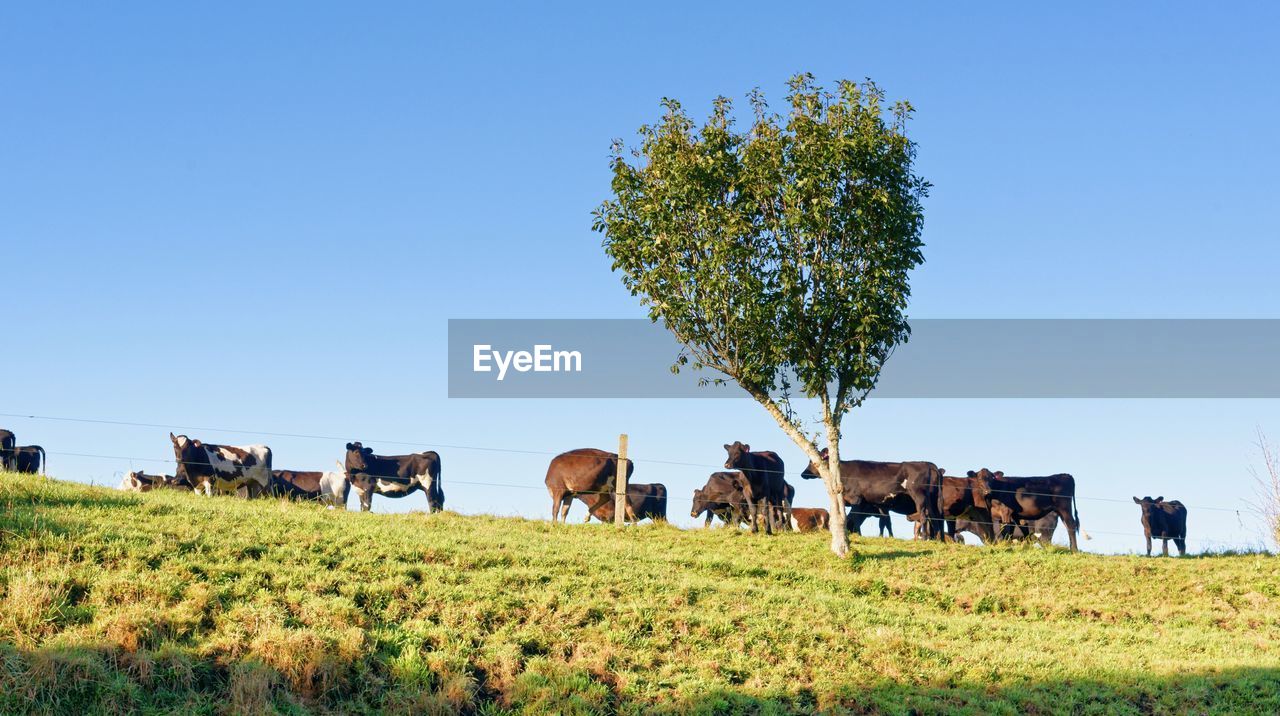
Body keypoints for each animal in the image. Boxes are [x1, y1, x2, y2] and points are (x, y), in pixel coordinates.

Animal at [803, 450, 947, 540]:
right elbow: (880, 522)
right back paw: (938, 540)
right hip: (933, 498)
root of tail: (929, 464)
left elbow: (855, 518)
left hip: (919, 496)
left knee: (924, 516)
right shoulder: (870, 503)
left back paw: (925, 538)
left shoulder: (856, 499)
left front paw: (858, 534)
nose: (803, 474)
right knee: (936, 518)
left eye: (813, 462)